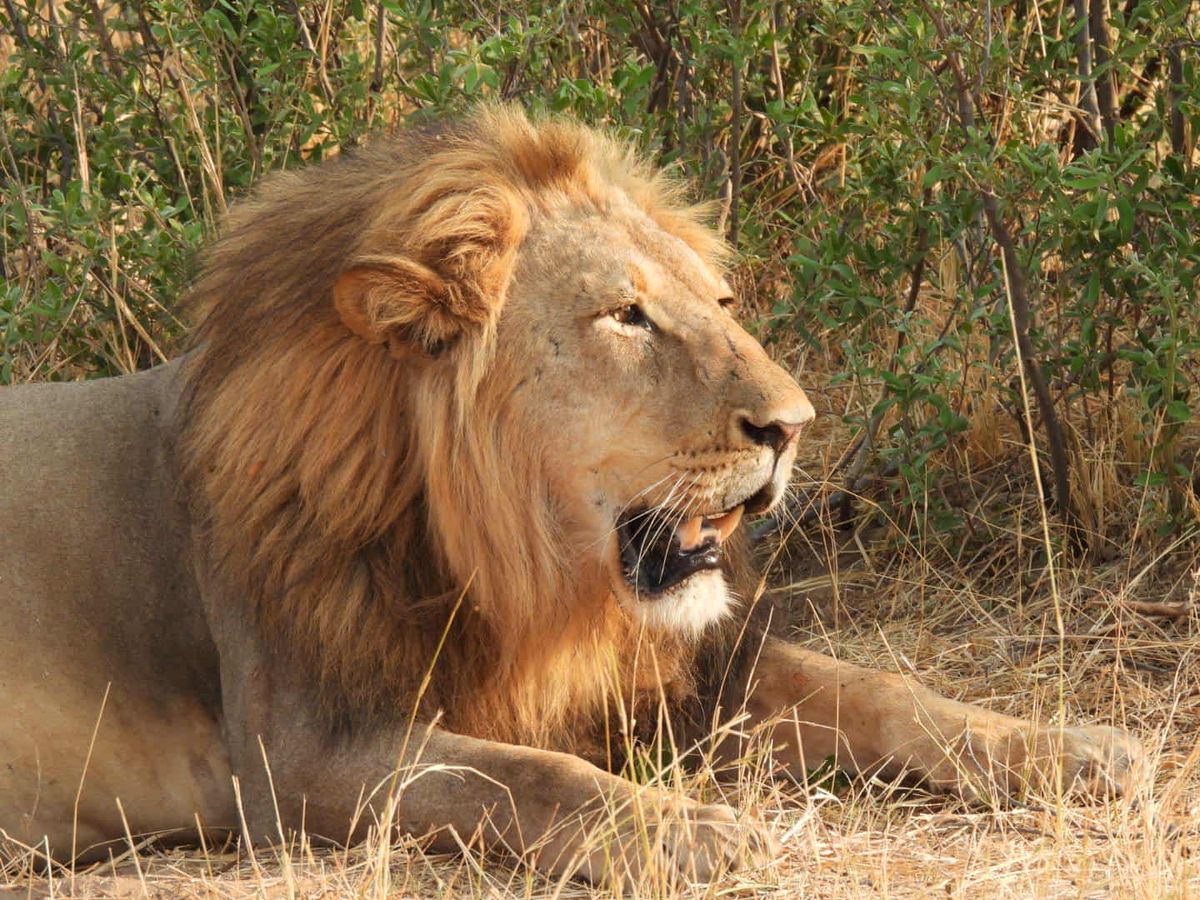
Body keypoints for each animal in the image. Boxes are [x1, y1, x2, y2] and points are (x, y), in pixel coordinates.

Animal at [0, 107, 1144, 885]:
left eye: (719, 300)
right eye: (627, 316)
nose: (794, 424)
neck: (519, 571)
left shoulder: (681, 672)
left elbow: (876, 689)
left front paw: (1074, 749)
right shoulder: (293, 755)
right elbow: (528, 776)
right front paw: (685, 829)